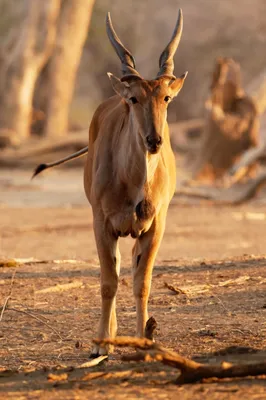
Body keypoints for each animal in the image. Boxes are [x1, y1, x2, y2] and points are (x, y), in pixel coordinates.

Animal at [33, 10, 187, 358]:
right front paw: (101, 344)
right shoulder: (101, 223)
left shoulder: (156, 225)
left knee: (128, 267)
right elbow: (108, 282)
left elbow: (142, 282)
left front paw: (145, 340)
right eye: (133, 99)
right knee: (114, 271)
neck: (134, 185)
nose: (154, 140)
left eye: (166, 98)